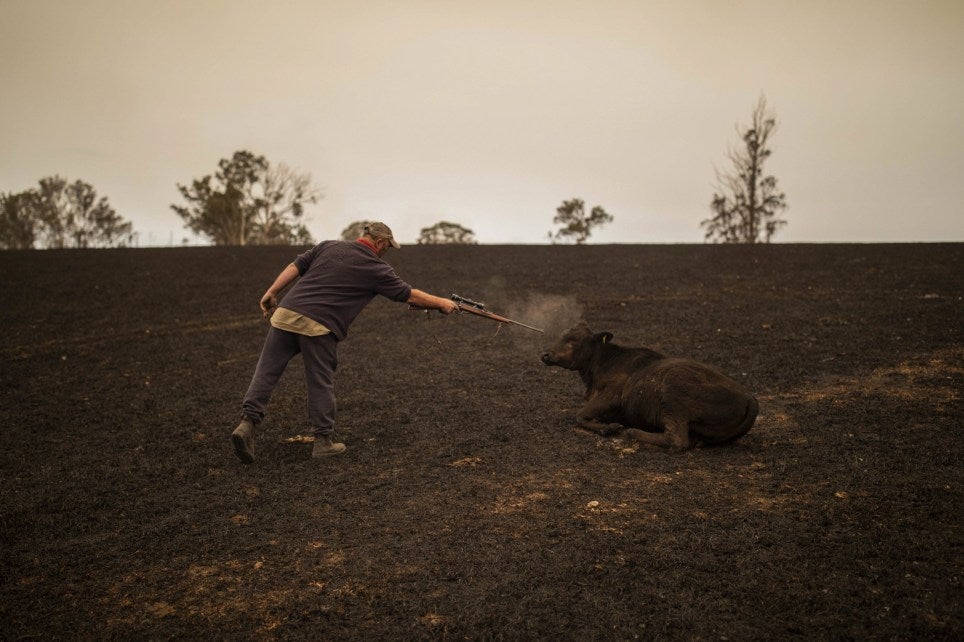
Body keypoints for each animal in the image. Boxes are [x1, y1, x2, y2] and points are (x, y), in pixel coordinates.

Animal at [540, 320, 756, 450]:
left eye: (573, 340)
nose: (546, 354)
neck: (602, 363)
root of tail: (749, 398)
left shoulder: (613, 395)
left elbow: (580, 416)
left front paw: (610, 427)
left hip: (673, 393)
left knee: (676, 439)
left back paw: (632, 432)